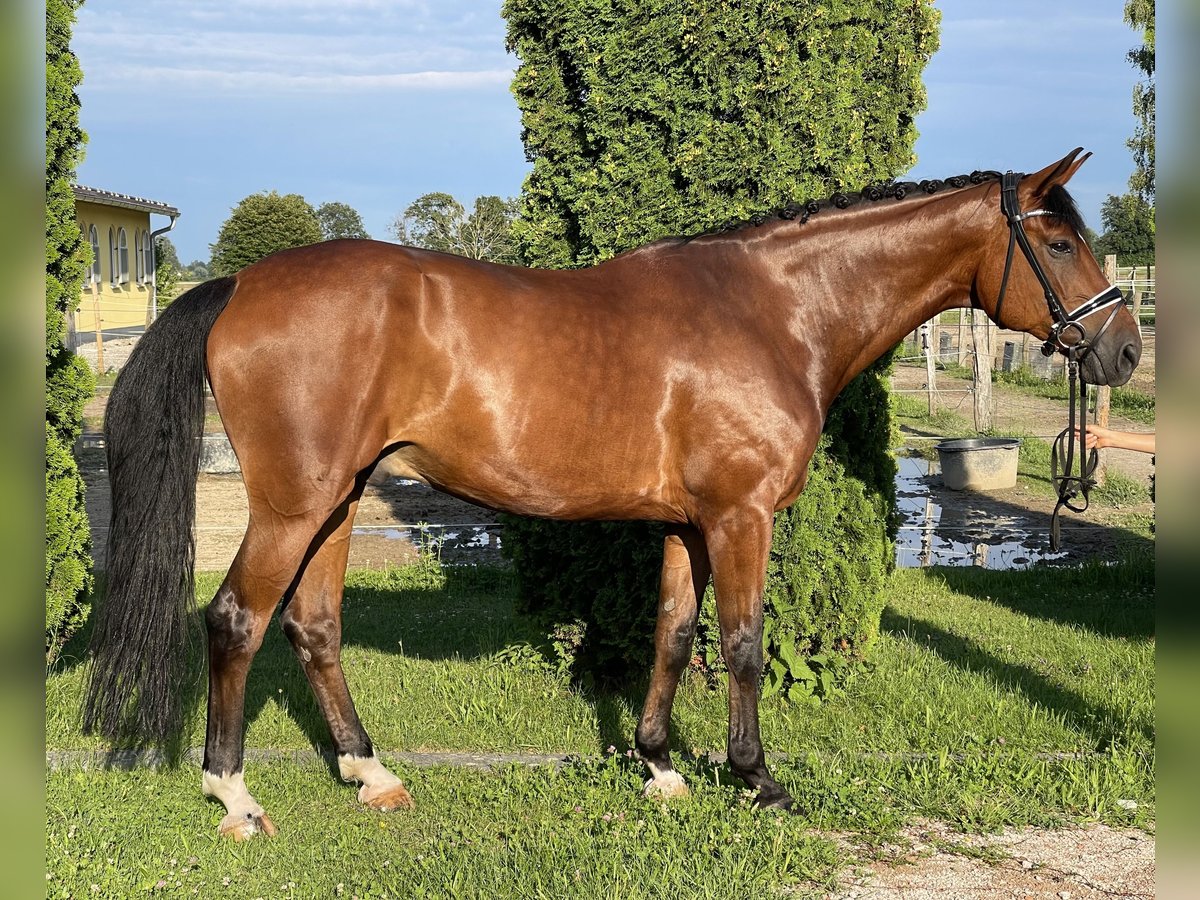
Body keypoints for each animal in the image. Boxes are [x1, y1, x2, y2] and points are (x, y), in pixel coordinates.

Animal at [87, 148, 1142, 840]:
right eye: (1057, 241)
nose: (1124, 350)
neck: (775, 312)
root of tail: (239, 286)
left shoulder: (687, 523)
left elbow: (674, 636)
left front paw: (661, 768)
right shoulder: (739, 518)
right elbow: (743, 643)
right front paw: (757, 781)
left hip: (339, 502)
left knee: (313, 628)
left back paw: (370, 773)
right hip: (295, 506)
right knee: (235, 620)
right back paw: (234, 798)